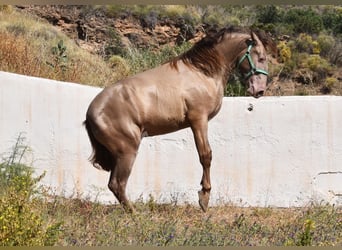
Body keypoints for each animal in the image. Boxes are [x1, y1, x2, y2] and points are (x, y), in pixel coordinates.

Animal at [84, 25, 276, 212]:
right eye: (261, 57)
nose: (259, 90)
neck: (201, 72)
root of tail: (90, 113)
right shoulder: (198, 119)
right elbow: (205, 155)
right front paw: (204, 197)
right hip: (127, 152)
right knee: (117, 184)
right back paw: (136, 214)